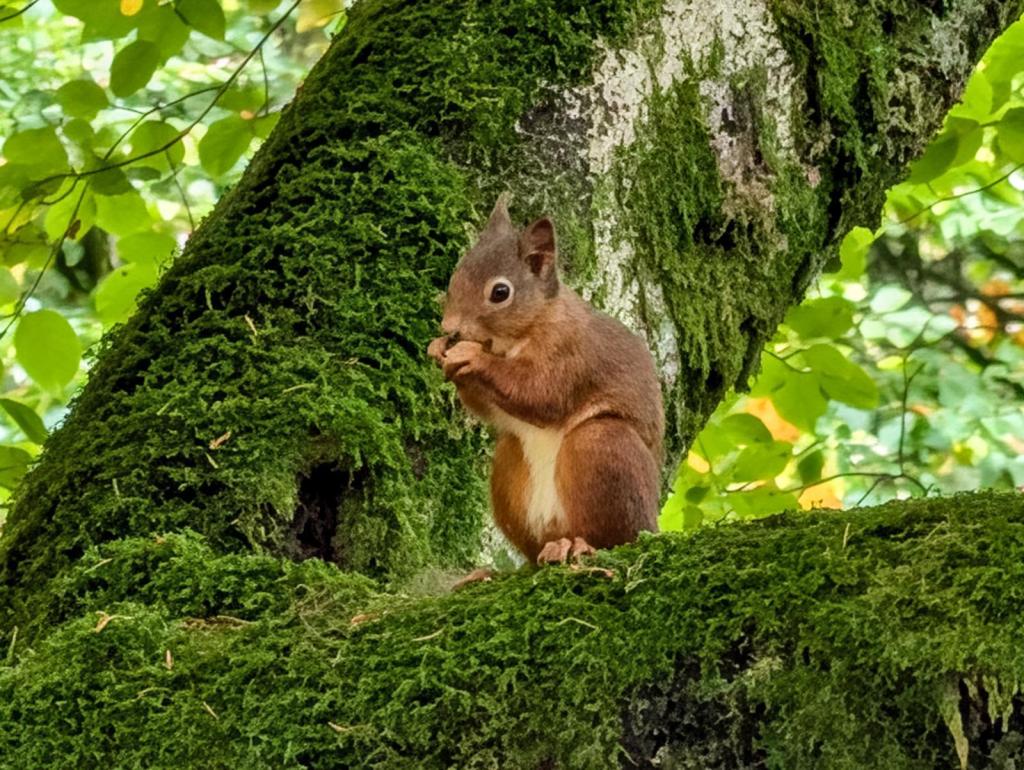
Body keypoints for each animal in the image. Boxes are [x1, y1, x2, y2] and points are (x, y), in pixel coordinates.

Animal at [428, 196, 664, 565]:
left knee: (613, 536)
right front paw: (439, 350)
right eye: (455, 276)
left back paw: (580, 546)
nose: (449, 328)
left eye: (500, 292)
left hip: (602, 446)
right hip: (510, 464)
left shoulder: (570, 354)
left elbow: (540, 393)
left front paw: (471, 356)